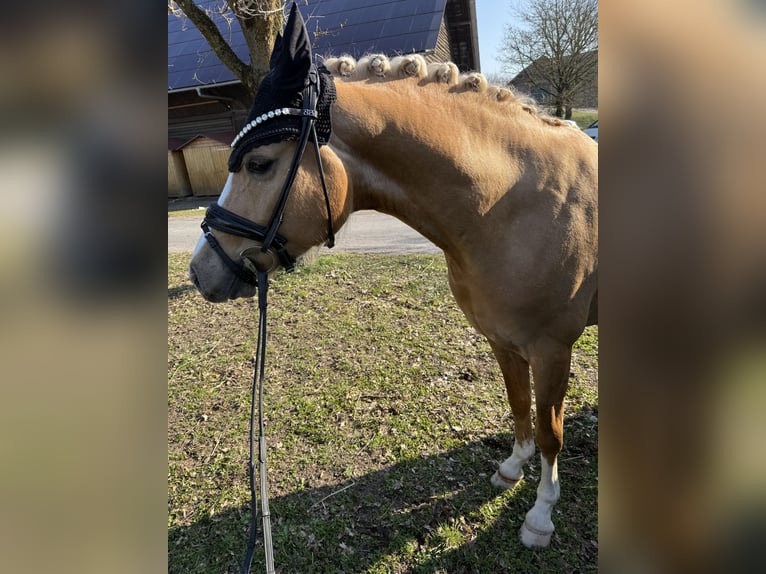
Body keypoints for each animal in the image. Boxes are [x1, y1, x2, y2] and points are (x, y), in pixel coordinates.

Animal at [189, 4, 597, 550]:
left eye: (257, 163)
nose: (199, 271)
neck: (510, 203)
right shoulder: (503, 340)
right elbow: (518, 405)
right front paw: (512, 469)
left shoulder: (552, 349)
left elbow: (552, 431)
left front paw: (541, 514)